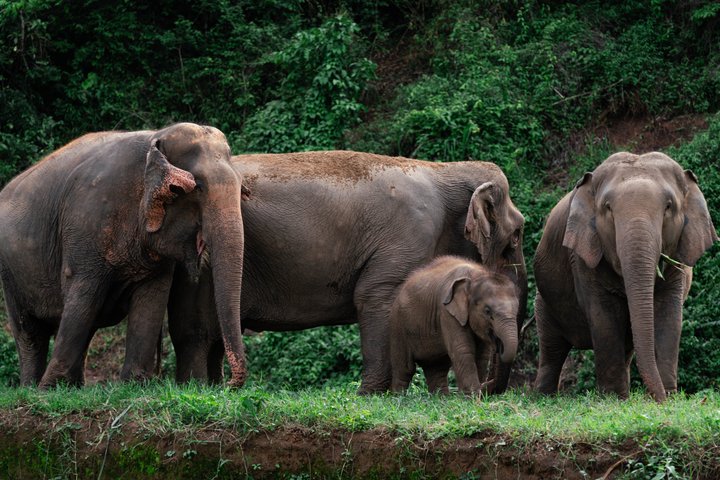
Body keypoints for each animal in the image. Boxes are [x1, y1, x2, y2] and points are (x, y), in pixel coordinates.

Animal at [0, 123, 247, 388]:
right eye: (198, 187)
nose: (227, 384)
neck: (155, 137)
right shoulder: (87, 222)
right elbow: (83, 294)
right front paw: (49, 389)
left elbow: (152, 299)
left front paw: (134, 384)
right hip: (10, 273)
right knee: (30, 330)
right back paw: (32, 387)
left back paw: (72, 386)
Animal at [390, 255, 520, 394]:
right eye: (487, 311)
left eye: (517, 310)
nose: (499, 345)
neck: (476, 275)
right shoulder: (446, 312)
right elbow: (463, 349)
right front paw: (472, 397)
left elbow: (482, 356)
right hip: (398, 325)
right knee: (405, 369)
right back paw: (398, 396)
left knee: (437, 368)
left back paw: (442, 397)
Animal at [533, 151, 718, 402]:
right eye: (608, 209)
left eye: (669, 207)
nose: (658, 400)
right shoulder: (582, 256)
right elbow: (604, 317)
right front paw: (613, 399)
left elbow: (669, 314)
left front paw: (668, 396)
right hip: (543, 299)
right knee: (552, 348)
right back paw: (544, 397)